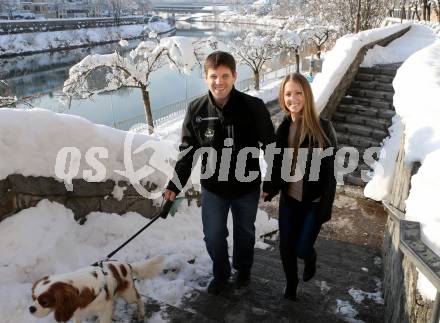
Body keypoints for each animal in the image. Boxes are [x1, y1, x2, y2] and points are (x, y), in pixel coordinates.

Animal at [29, 256, 164, 322]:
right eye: (33, 298)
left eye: (44, 302)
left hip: (128, 294)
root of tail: (126, 264)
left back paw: (141, 314)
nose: (31, 309)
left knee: (138, 299)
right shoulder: (78, 313)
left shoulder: (103, 310)